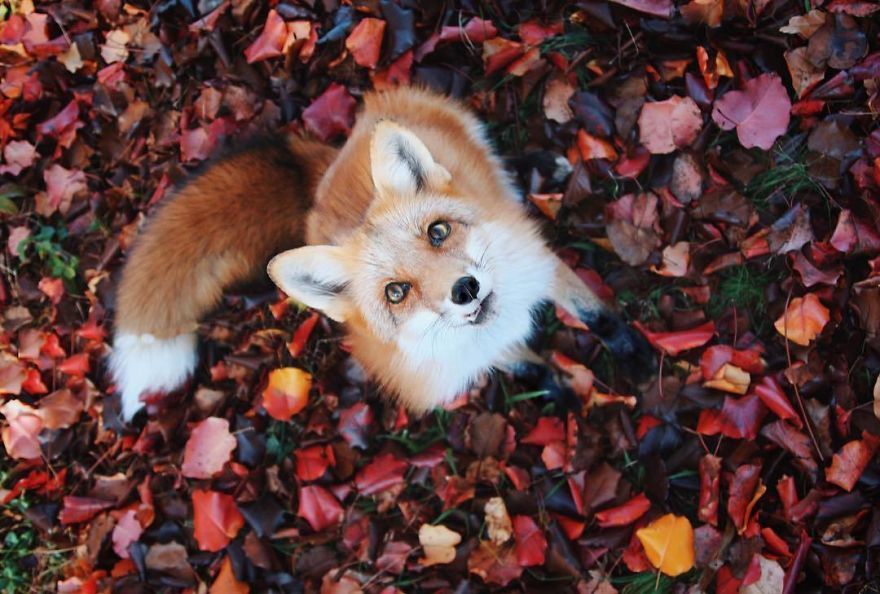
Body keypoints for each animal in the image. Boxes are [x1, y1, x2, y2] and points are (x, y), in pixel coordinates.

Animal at [111, 86, 655, 421]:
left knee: (500, 161)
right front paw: (557, 395)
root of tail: (329, 167)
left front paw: (639, 357)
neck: (496, 322)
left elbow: (598, 316)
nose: (465, 289)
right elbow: (530, 368)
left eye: (438, 232)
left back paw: (542, 165)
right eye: (396, 292)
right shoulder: (482, 351)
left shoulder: (545, 266)